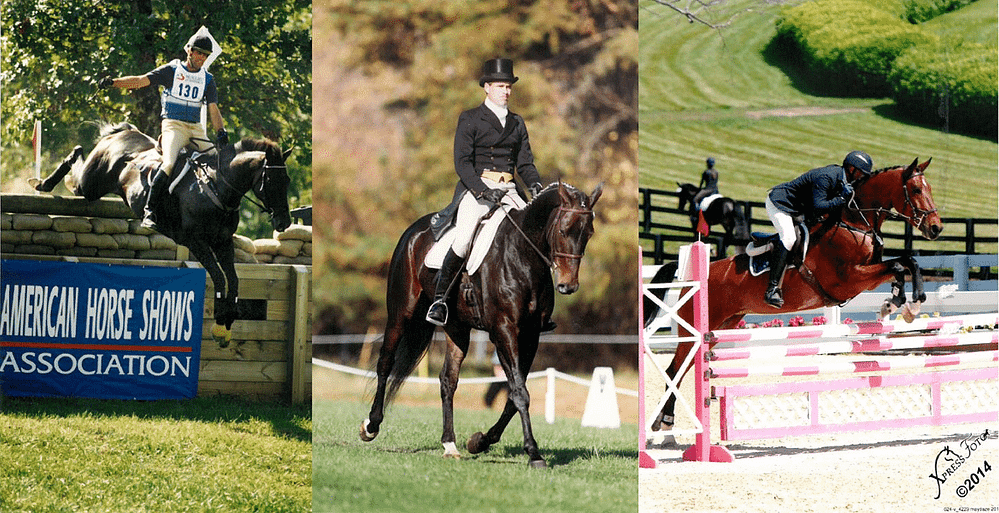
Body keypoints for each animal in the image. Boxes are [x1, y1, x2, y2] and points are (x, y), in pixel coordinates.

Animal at [31, 121, 290, 344]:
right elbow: (218, 276)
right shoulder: (195, 241)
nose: (284, 222)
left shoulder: (222, 241)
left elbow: (233, 280)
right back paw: (44, 183)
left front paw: (226, 325)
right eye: (270, 180)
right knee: (76, 167)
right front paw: (219, 323)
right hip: (90, 184)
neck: (216, 188)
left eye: (286, 180)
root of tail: (124, 132)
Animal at [364, 182, 604, 466]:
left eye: (588, 233)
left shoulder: (531, 335)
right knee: (385, 363)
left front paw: (479, 441)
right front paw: (533, 453)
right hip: (400, 313)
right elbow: (519, 392)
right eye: (564, 230)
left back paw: (450, 444)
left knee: (448, 379)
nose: (568, 285)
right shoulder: (503, 331)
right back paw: (371, 426)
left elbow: (513, 394)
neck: (522, 256)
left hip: (457, 327)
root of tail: (415, 230)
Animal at [644, 159, 940, 432]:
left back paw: (665, 419)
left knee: (686, 365)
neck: (855, 222)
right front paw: (907, 303)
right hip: (697, 326)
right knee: (675, 368)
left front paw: (899, 304)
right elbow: (900, 264)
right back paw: (664, 420)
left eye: (929, 188)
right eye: (915, 189)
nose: (936, 228)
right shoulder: (849, 279)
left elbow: (906, 262)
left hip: (723, 325)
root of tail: (696, 274)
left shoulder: (865, 279)